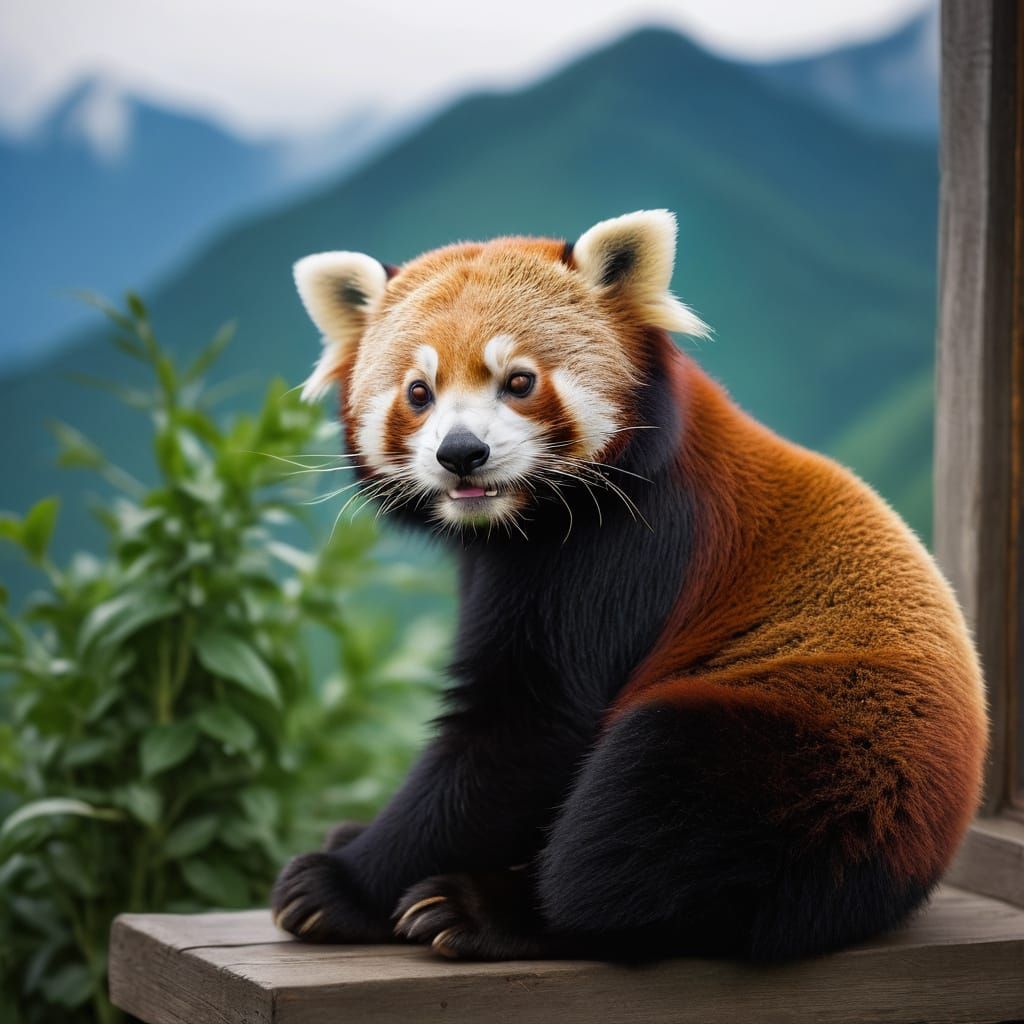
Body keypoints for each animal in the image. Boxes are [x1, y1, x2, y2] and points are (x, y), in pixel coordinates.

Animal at [271, 210, 987, 962]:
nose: (461, 452)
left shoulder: (623, 551)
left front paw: (340, 883)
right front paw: (351, 843)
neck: (521, 523)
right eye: (419, 392)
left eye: (518, 381)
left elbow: (524, 735)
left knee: (636, 826)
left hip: (798, 750)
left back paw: (487, 908)